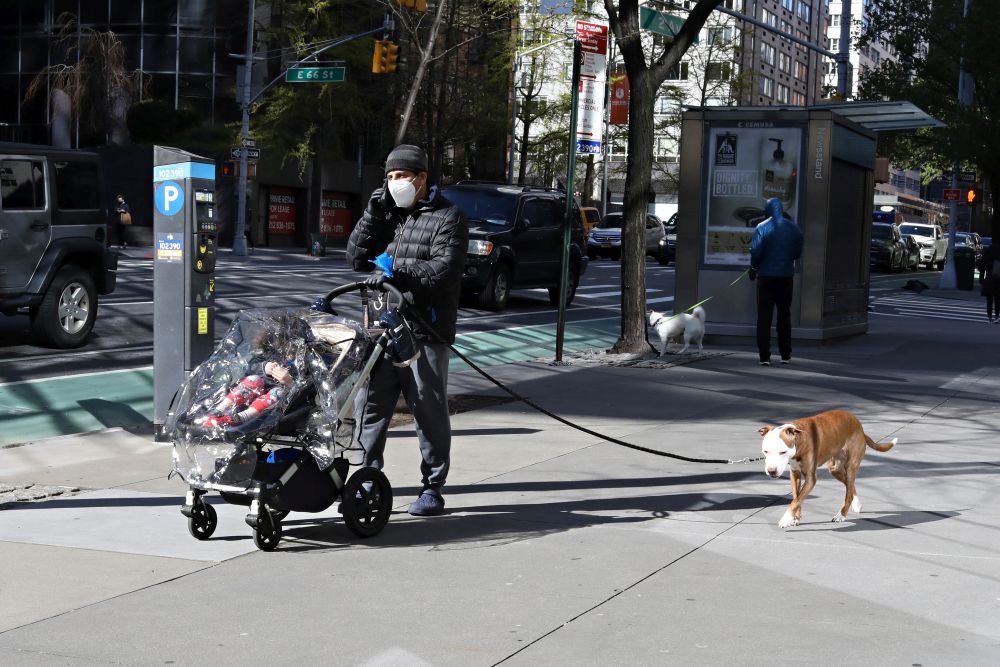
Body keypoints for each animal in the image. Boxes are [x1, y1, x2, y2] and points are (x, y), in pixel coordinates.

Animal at [760, 410, 896, 528]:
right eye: (765, 451)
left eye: (782, 452)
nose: (771, 471)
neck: (799, 440)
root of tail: (860, 426)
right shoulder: (795, 473)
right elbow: (796, 497)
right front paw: (795, 517)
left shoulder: (811, 479)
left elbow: (796, 500)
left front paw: (786, 519)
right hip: (835, 468)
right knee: (850, 485)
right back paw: (856, 504)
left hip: (851, 465)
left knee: (849, 488)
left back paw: (841, 515)